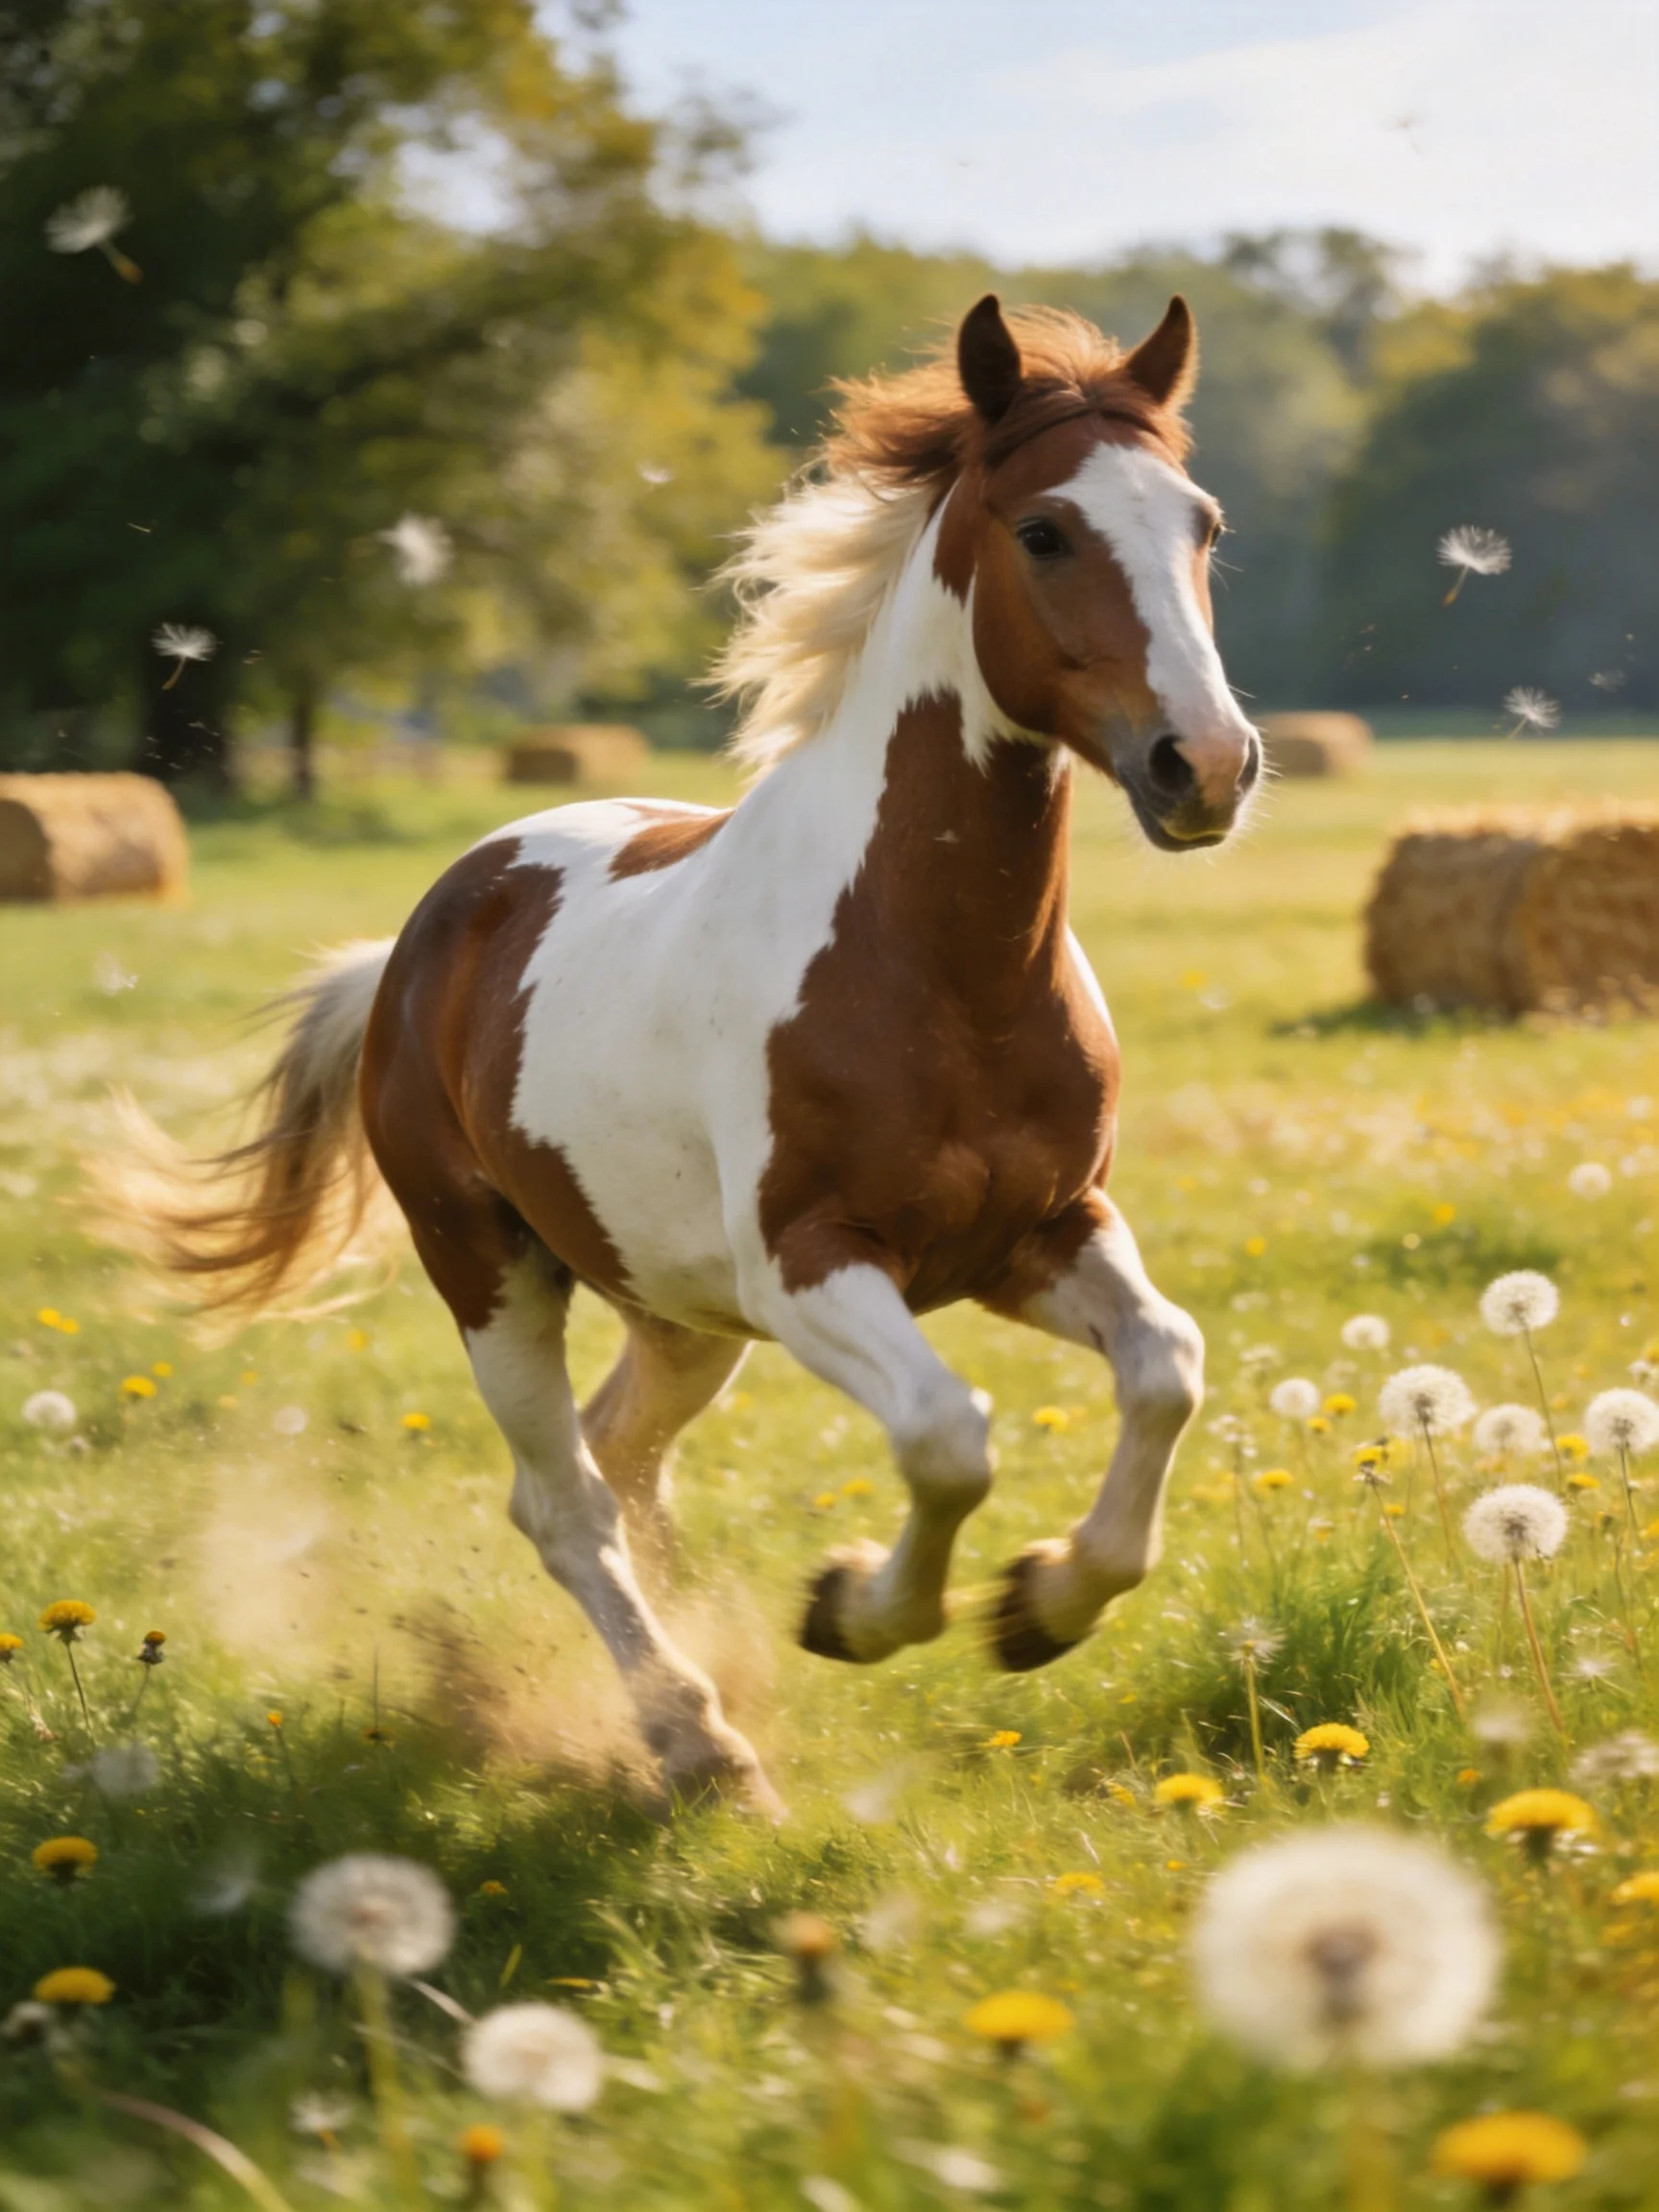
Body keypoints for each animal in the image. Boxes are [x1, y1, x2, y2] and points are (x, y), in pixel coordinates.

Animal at [124, 294, 1260, 1813]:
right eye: (1045, 532)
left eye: (1202, 524)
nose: (1207, 765)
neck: (937, 967)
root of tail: (418, 941)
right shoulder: (810, 1264)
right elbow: (947, 1436)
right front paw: (853, 1609)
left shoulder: (1043, 1231)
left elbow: (1165, 1367)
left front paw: (1042, 1604)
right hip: (491, 1272)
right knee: (562, 1501)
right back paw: (697, 1739)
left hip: (671, 1307)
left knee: (619, 1458)